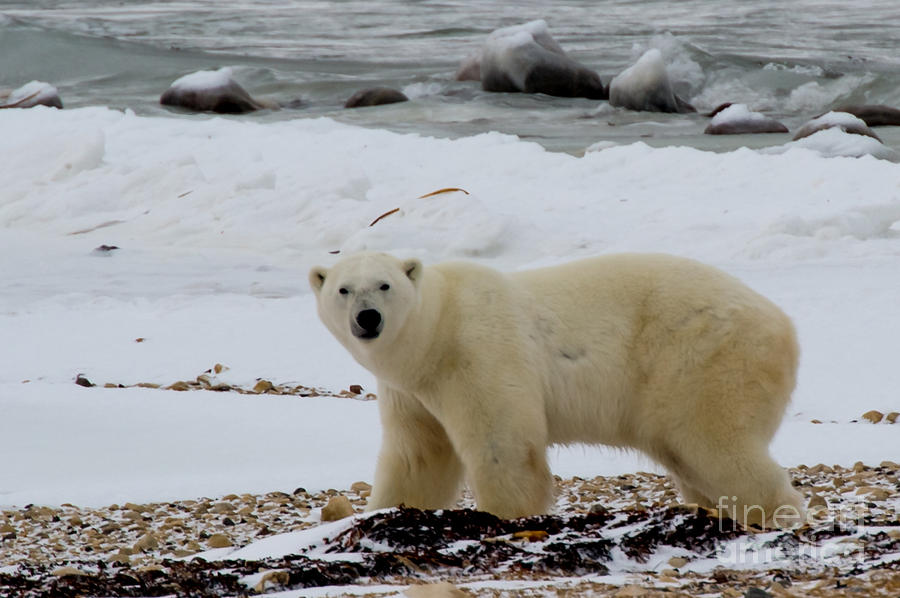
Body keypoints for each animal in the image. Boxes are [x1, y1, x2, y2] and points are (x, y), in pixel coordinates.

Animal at [309, 252, 804, 528]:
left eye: (384, 285)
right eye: (343, 289)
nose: (368, 317)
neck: (438, 327)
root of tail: (784, 326)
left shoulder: (479, 352)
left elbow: (502, 445)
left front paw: (507, 516)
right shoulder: (410, 390)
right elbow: (417, 457)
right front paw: (387, 511)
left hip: (701, 359)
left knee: (712, 444)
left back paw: (775, 514)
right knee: (692, 460)